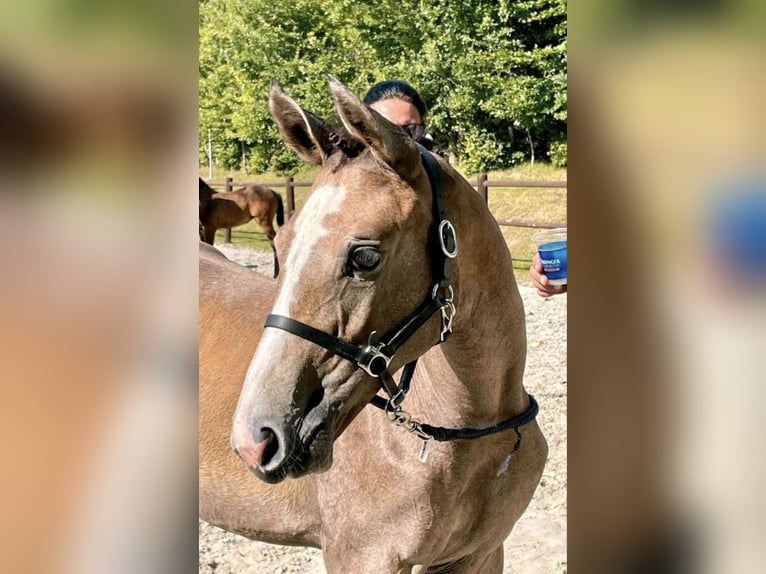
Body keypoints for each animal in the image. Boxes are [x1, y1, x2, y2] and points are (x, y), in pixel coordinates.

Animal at [198, 79, 544, 572]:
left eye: (365, 256)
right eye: (280, 248)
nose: (256, 438)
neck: (469, 433)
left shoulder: (481, 554)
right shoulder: (363, 557)